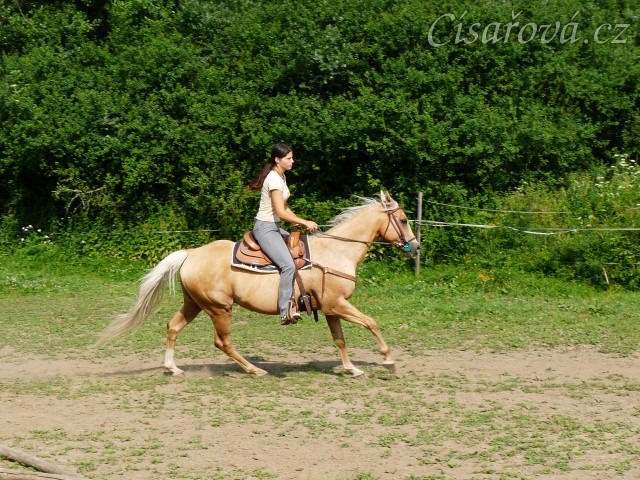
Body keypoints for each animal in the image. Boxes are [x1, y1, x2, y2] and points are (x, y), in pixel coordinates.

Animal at [98, 191, 420, 378]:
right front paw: (388, 360)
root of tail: (190, 253)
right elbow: (372, 323)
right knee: (222, 342)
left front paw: (352, 368)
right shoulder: (337, 304)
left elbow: (340, 339)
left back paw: (172, 368)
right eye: (404, 219)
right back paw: (255, 370)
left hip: (194, 304)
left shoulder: (330, 308)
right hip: (219, 308)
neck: (336, 252)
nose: (415, 248)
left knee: (173, 327)